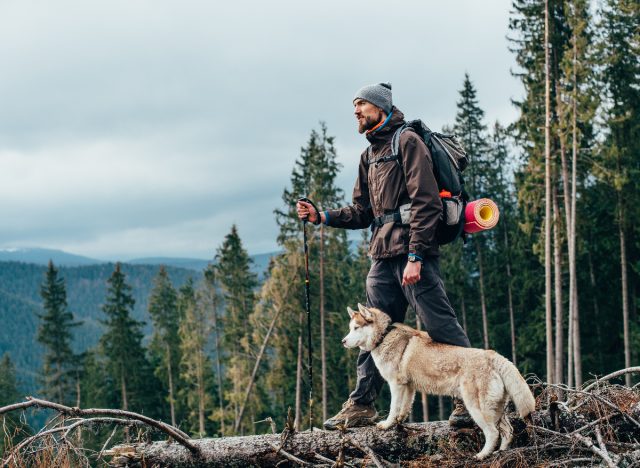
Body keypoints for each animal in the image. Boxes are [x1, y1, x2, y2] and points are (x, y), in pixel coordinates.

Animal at [344, 304, 536, 460]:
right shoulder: (408, 387)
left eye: (356, 328)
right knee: (508, 432)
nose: (343, 341)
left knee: (493, 433)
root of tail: (492, 355)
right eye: (350, 328)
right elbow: (404, 408)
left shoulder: (395, 384)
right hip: (496, 410)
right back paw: (501, 452)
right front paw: (400, 422)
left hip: (477, 409)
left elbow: (393, 408)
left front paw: (386, 425)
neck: (383, 336)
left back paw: (482, 455)